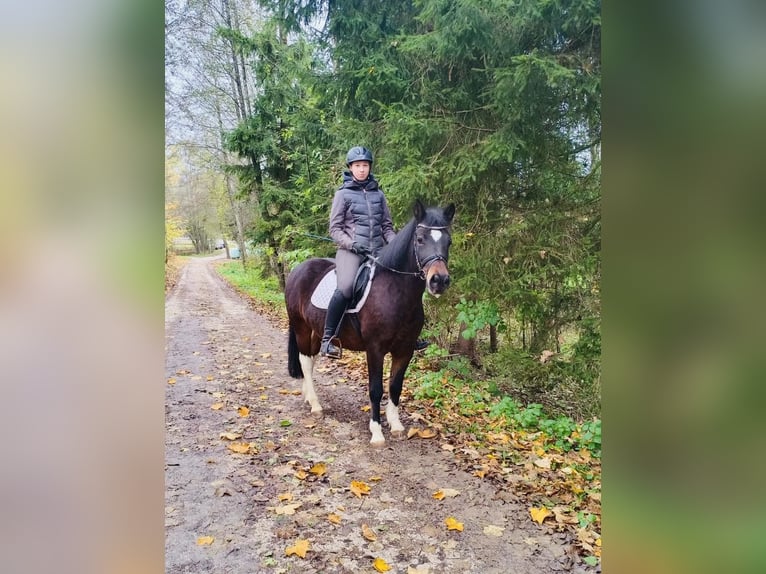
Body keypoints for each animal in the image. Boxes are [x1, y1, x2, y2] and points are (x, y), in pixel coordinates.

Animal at [286, 200, 456, 448]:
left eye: (448, 241)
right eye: (420, 239)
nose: (439, 281)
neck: (395, 291)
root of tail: (297, 270)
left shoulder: (405, 350)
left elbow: (395, 386)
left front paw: (396, 425)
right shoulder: (374, 349)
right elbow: (376, 389)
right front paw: (376, 432)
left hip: (317, 331)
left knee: (312, 357)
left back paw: (308, 395)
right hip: (301, 326)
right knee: (305, 361)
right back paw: (316, 405)